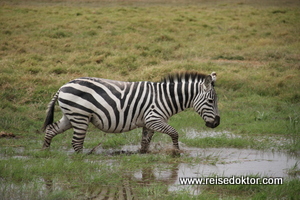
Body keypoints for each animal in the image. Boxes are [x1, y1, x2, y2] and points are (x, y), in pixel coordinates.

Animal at [42, 71, 219, 153]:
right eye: (211, 101)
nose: (217, 123)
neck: (165, 97)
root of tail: (63, 86)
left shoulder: (148, 123)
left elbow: (145, 141)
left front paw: (143, 154)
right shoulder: (154, 118)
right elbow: (174, 133)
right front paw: (176, 152)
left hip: (70, 116)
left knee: (51, 130)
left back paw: (45, 152)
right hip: (80, 117)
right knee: (76, 142)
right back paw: (84, 159)